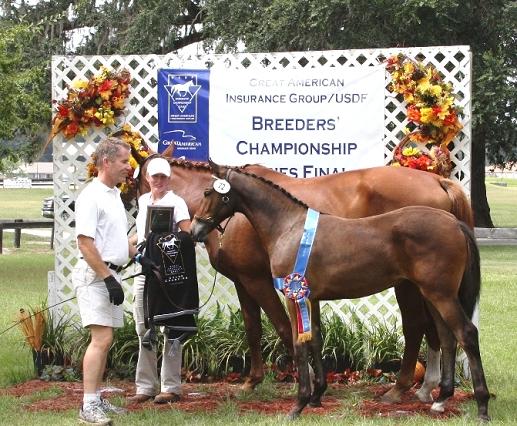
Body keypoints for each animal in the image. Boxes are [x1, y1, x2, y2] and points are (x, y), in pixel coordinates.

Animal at [135, 151, 474, 408]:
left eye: (139, 181)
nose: (194, 229)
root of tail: (438, 180)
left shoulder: (259, 281)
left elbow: (286, 329)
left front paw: (305, 383)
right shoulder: (245, 283)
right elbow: (254, 329)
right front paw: (254, 381)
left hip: (411, 285)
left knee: (417, 327)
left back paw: (401, 388)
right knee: (436, 330)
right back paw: (428, 389)